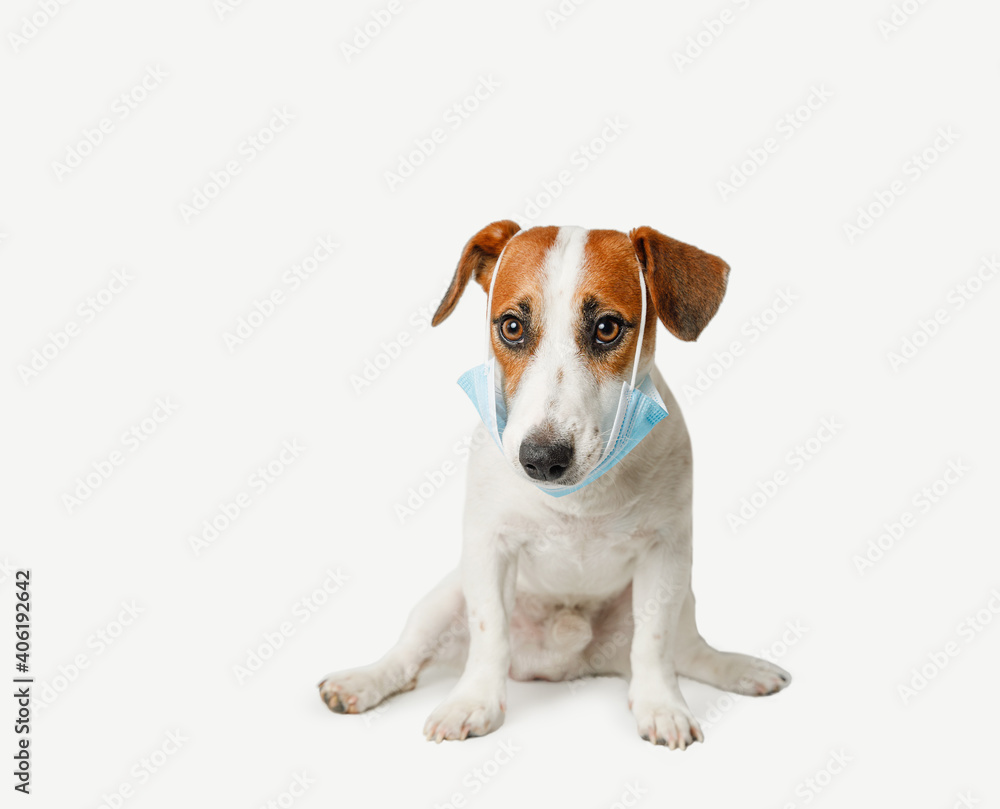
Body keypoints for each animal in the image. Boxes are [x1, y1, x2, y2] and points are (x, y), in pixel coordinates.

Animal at [320, 223, 788, 752]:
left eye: (607, 328)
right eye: (511, 327)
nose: (542, 459)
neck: (580, 499)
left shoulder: (665, 553)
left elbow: (653, 644)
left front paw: (661, 706)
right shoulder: (489, 547)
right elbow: (489, 632)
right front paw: (473, 702)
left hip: (680, 601)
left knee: (685, 651)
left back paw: (738, 669)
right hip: (442, 600)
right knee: (407, 656)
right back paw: (362, 681)